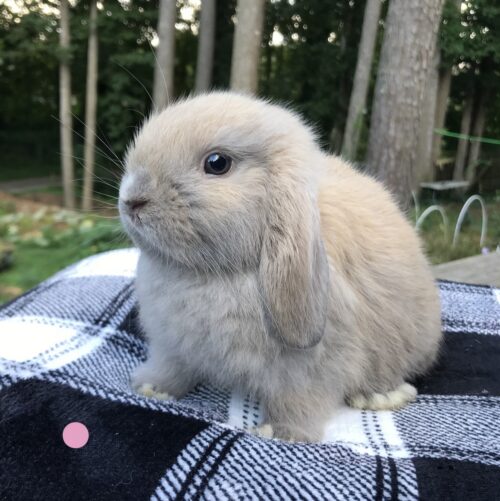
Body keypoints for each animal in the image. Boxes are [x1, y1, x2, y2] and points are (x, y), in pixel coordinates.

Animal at [117, 91, 442, 442]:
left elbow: (298, 397)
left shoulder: (309, 368)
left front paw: (280, 432)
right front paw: (151, 388)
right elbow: (171, 370)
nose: (131, 200)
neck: (207, 274)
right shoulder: (172, 347)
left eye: (217, 163)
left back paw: (380, 396)